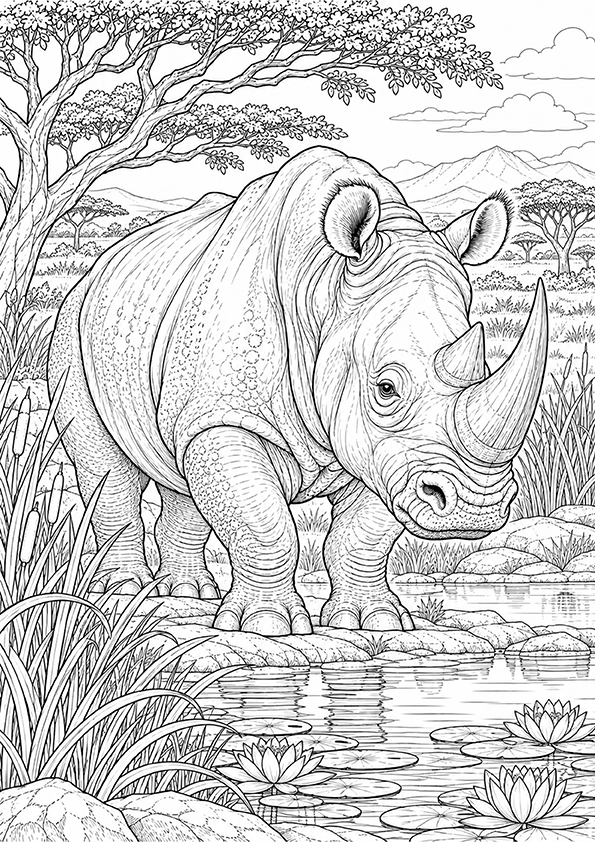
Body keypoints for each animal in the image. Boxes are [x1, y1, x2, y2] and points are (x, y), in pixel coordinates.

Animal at [48, 147, 547, 635]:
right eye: (386, 388)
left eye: (484, 367)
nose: (476, 508)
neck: (324, 287)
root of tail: (99, 266)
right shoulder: (227, 416)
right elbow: (264, 523)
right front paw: (267, 627)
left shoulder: (381, 451)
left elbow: (361, 534)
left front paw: (376, 623)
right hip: (72, 324)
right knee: (108, 472)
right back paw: (120, 592)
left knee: (178, 473)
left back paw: (189, 594)